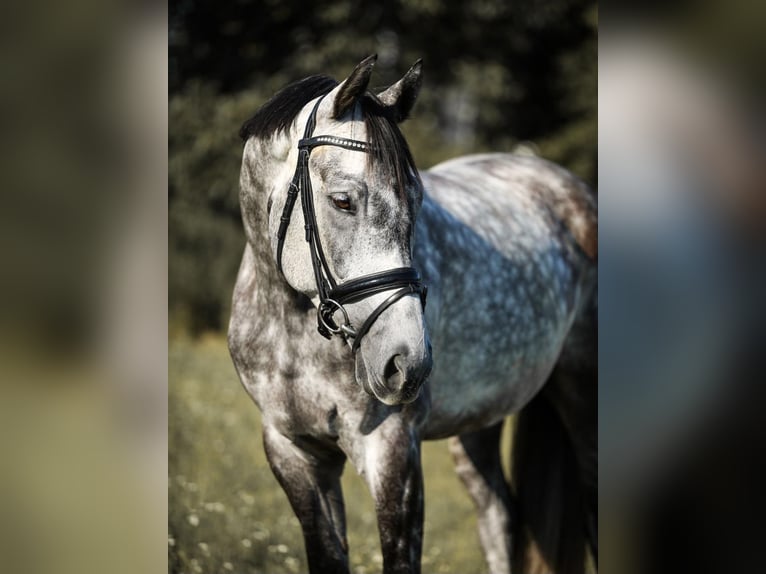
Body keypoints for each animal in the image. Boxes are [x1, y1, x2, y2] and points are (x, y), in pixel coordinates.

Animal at [230, 57, 600, 574]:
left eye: (418, 200)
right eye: (342, 200)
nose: (406, 363)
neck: (293, 331)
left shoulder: (393, 452)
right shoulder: (293, 451)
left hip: (583, 399)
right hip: (478, 426)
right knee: (499, 518)